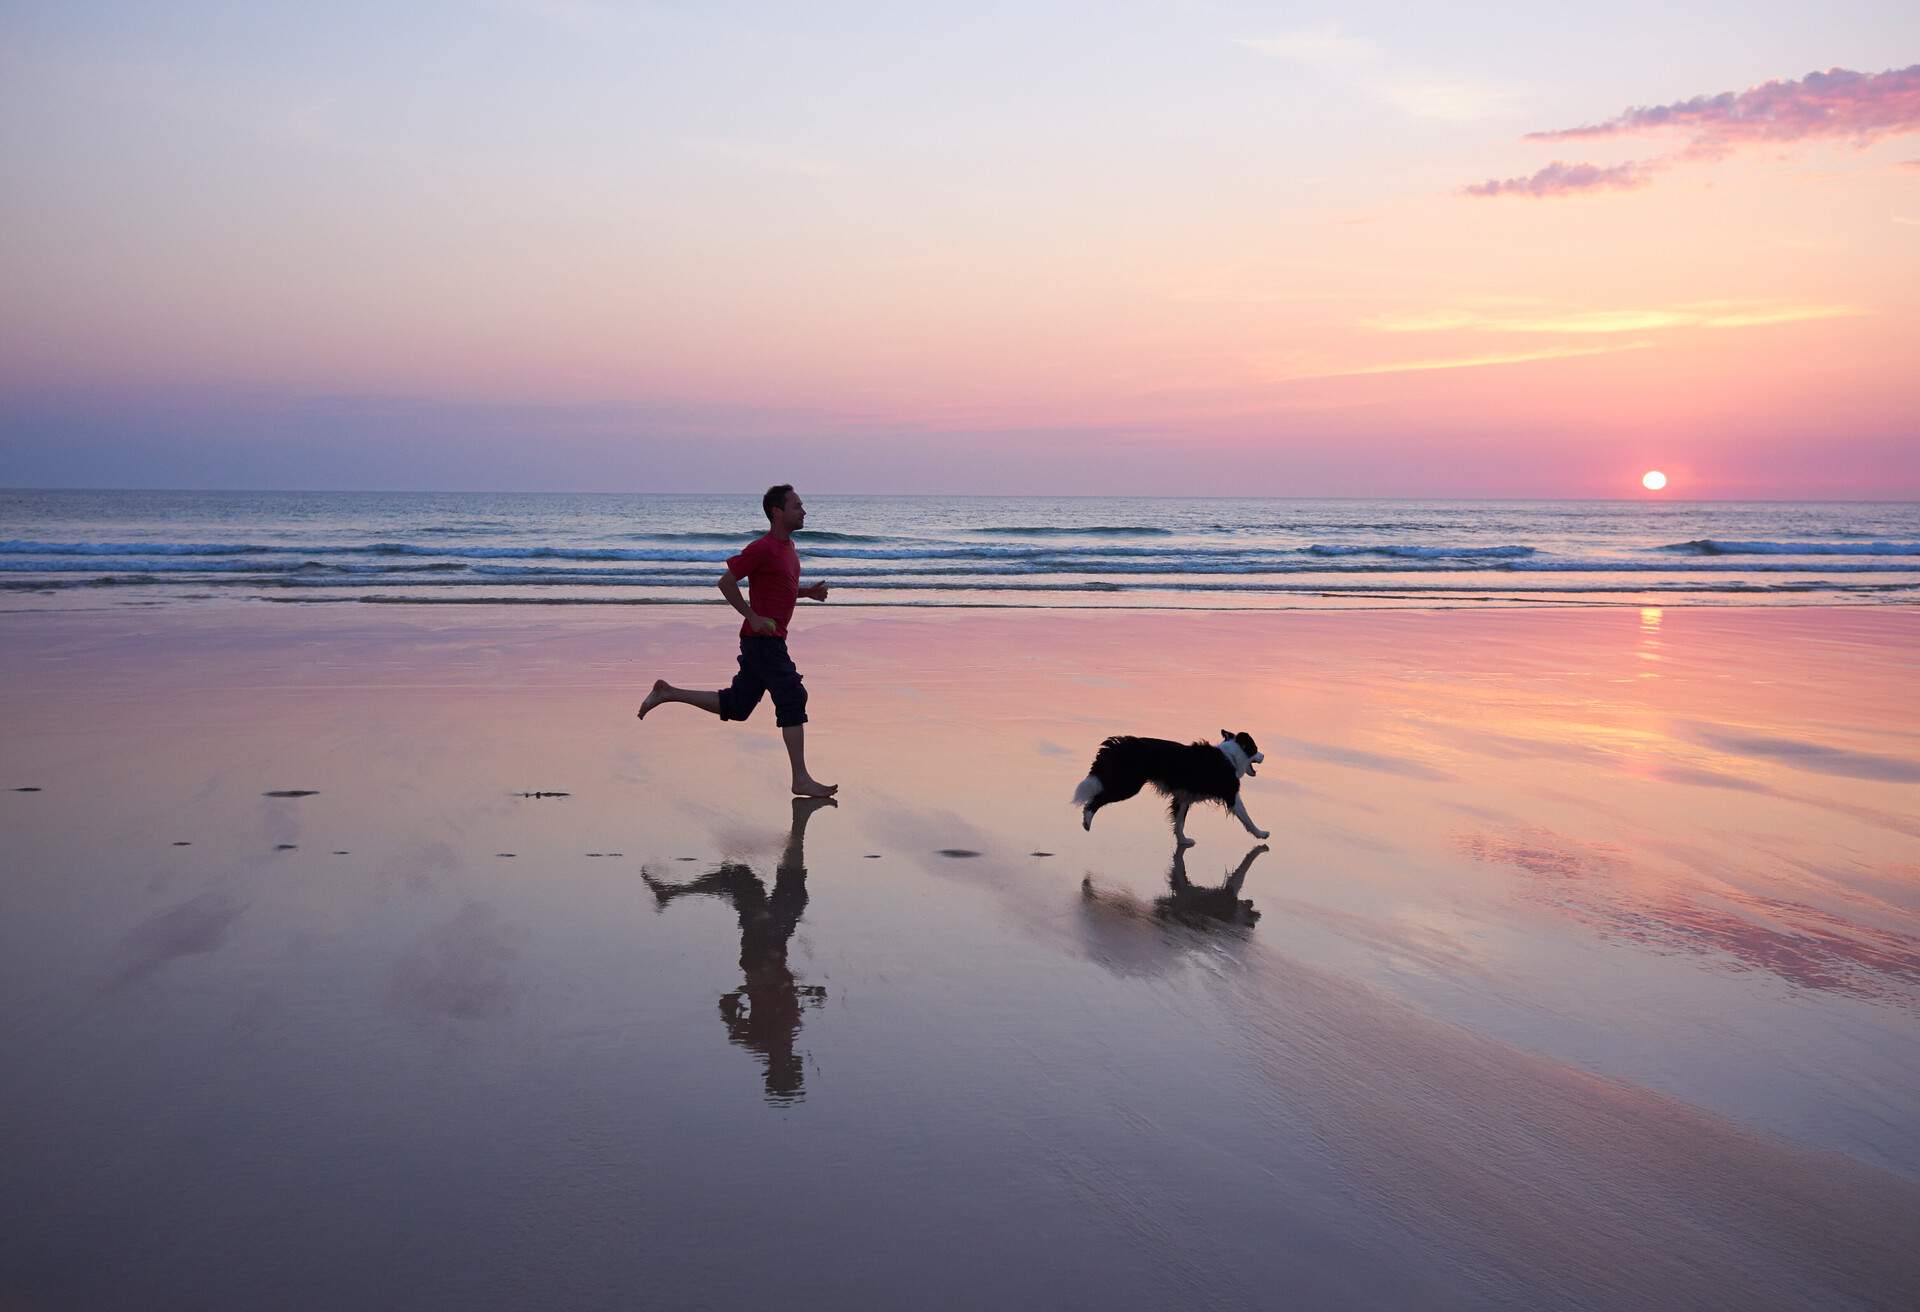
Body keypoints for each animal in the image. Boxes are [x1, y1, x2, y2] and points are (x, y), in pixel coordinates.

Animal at [1075, 733, 1267, 845]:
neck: (1231, 756)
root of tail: (1119, 744)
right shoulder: (1231, 794)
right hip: (1128, 785)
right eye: (1255, 748)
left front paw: (1183, 841)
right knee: (1096, 800)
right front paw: (1261, 833)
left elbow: (1180, 822)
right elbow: (1247, 817)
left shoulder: (1183, 797)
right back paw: (1087, 820)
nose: (1264, 755)